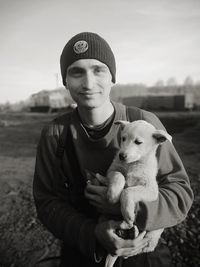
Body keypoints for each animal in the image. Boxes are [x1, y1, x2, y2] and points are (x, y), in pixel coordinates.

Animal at [104, 120, 172, 267]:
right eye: (123, 138)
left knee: (144, 246)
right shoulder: (112, 170)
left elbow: (129, 191)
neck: (133, 164)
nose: (121, 156)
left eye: (138, 142)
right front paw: (113, 195)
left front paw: (127, 212)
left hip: (154, 233)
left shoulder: (151, 189)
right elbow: (119, 175)